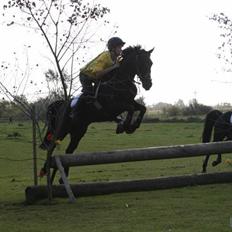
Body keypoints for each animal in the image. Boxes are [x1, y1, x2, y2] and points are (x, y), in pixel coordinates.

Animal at [39, 44, 154, 179]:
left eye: (150, 63)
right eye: (142, 63)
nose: (148, 85)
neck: (120, 81)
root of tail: (60, 106)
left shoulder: (130, 101)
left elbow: (142, 108)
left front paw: (132, 126)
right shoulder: (114, 106)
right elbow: (130, 109)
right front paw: (126, 126)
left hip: (78, 131)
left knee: (69, 151)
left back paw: (62, 178)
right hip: (61, 129)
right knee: (51, 147)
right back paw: (45, 170)